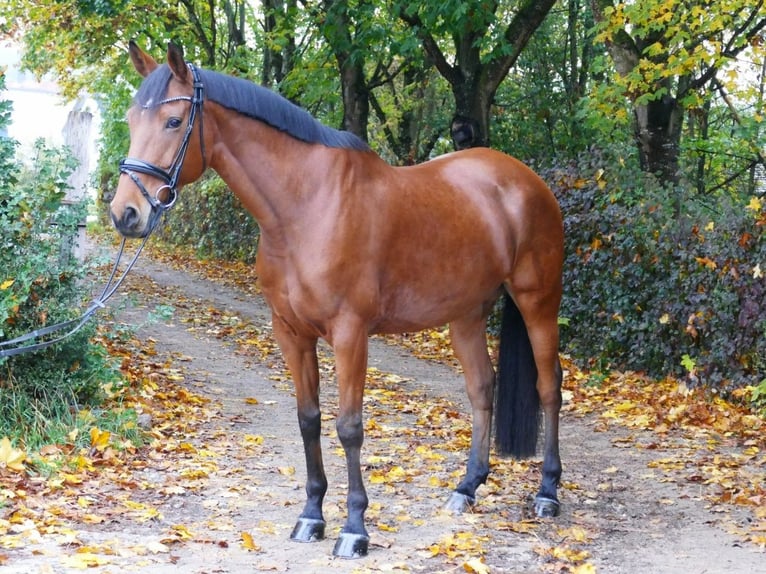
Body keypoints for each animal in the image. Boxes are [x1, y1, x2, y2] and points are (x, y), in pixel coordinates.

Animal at [110, 41, 564, 559]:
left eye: (172, 122)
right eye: (131, 120)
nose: (126, 213)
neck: (306, 207)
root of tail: (526, 181)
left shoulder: (350, 334)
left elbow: (349, 427)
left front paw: (354, 529)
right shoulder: (290, 332)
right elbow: (309, 420)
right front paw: (311, 516)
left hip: (538, 301)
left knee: (549, 387)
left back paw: (547, 493)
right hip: (466, 315)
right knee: (482, 388)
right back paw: (466, 488)